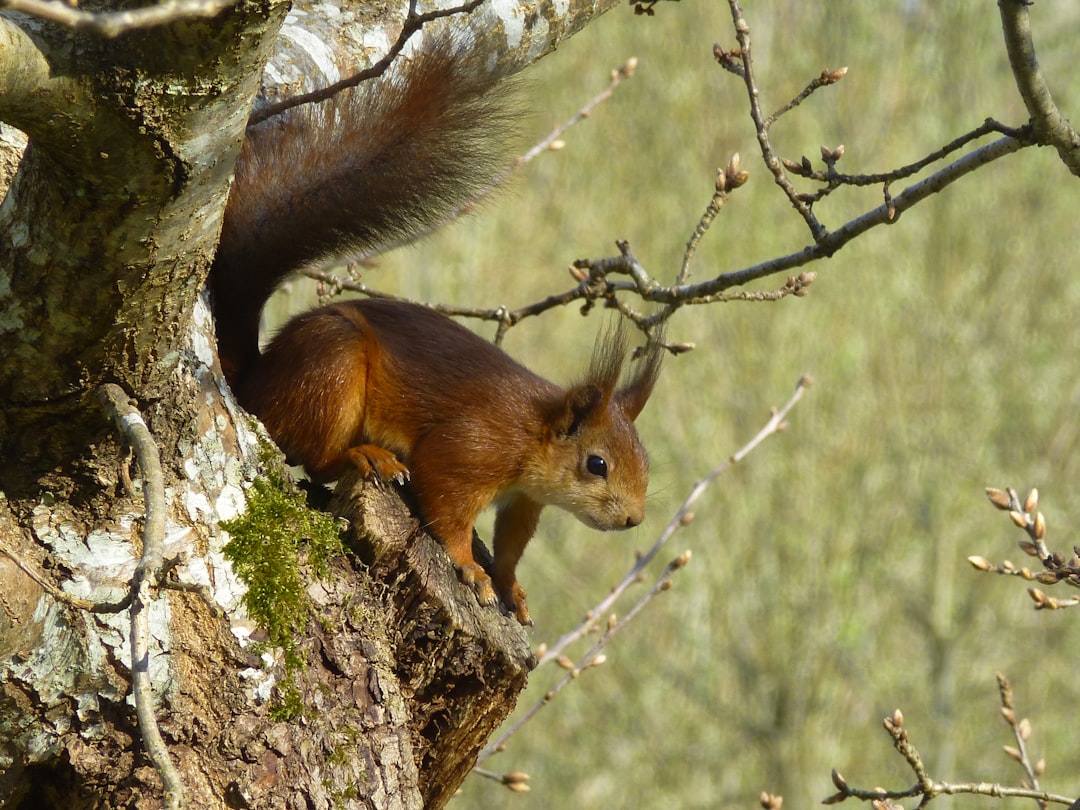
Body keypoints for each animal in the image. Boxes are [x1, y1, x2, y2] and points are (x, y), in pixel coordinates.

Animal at [209, 36, 660, 626]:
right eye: (597, 464)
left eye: (645, 461)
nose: (633, 519)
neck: (533, 433)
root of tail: (253, 380)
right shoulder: (471, 447)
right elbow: (446, 505)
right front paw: (470, 569)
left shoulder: (525, 498)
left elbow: (511, 545)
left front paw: (512, 588)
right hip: (330, 370)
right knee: (309, 453)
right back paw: (364, 456)